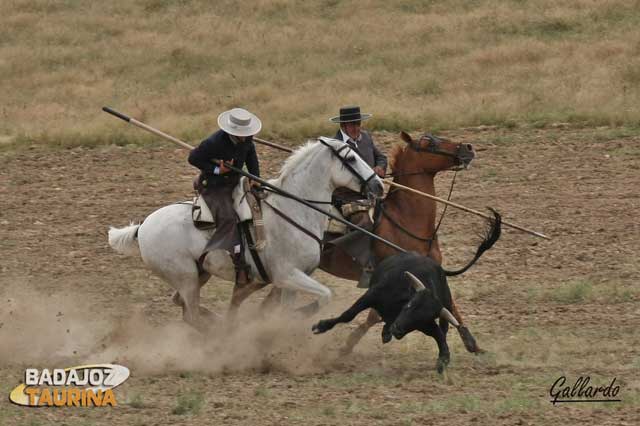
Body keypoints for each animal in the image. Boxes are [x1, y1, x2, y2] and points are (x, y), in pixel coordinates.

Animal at [107, 138, 382, 332]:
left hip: (198, 274)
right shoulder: (286, 275)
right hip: (185, 277)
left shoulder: (296, 278)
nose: (378, 185)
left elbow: (295, 306)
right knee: (191, 315)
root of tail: (143, 226)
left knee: (182, 305)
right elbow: (325, 296)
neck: (293, 208)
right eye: (351, 158)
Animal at [312, 211, 502, 374]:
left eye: (421, 316)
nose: (397, 329)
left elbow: (440, 336)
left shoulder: (426, 323)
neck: (400, 298)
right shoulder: (372, 295)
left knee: (443, 328)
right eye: (410, 305)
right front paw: (321, 326)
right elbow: (348, 315)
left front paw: (443, 360)